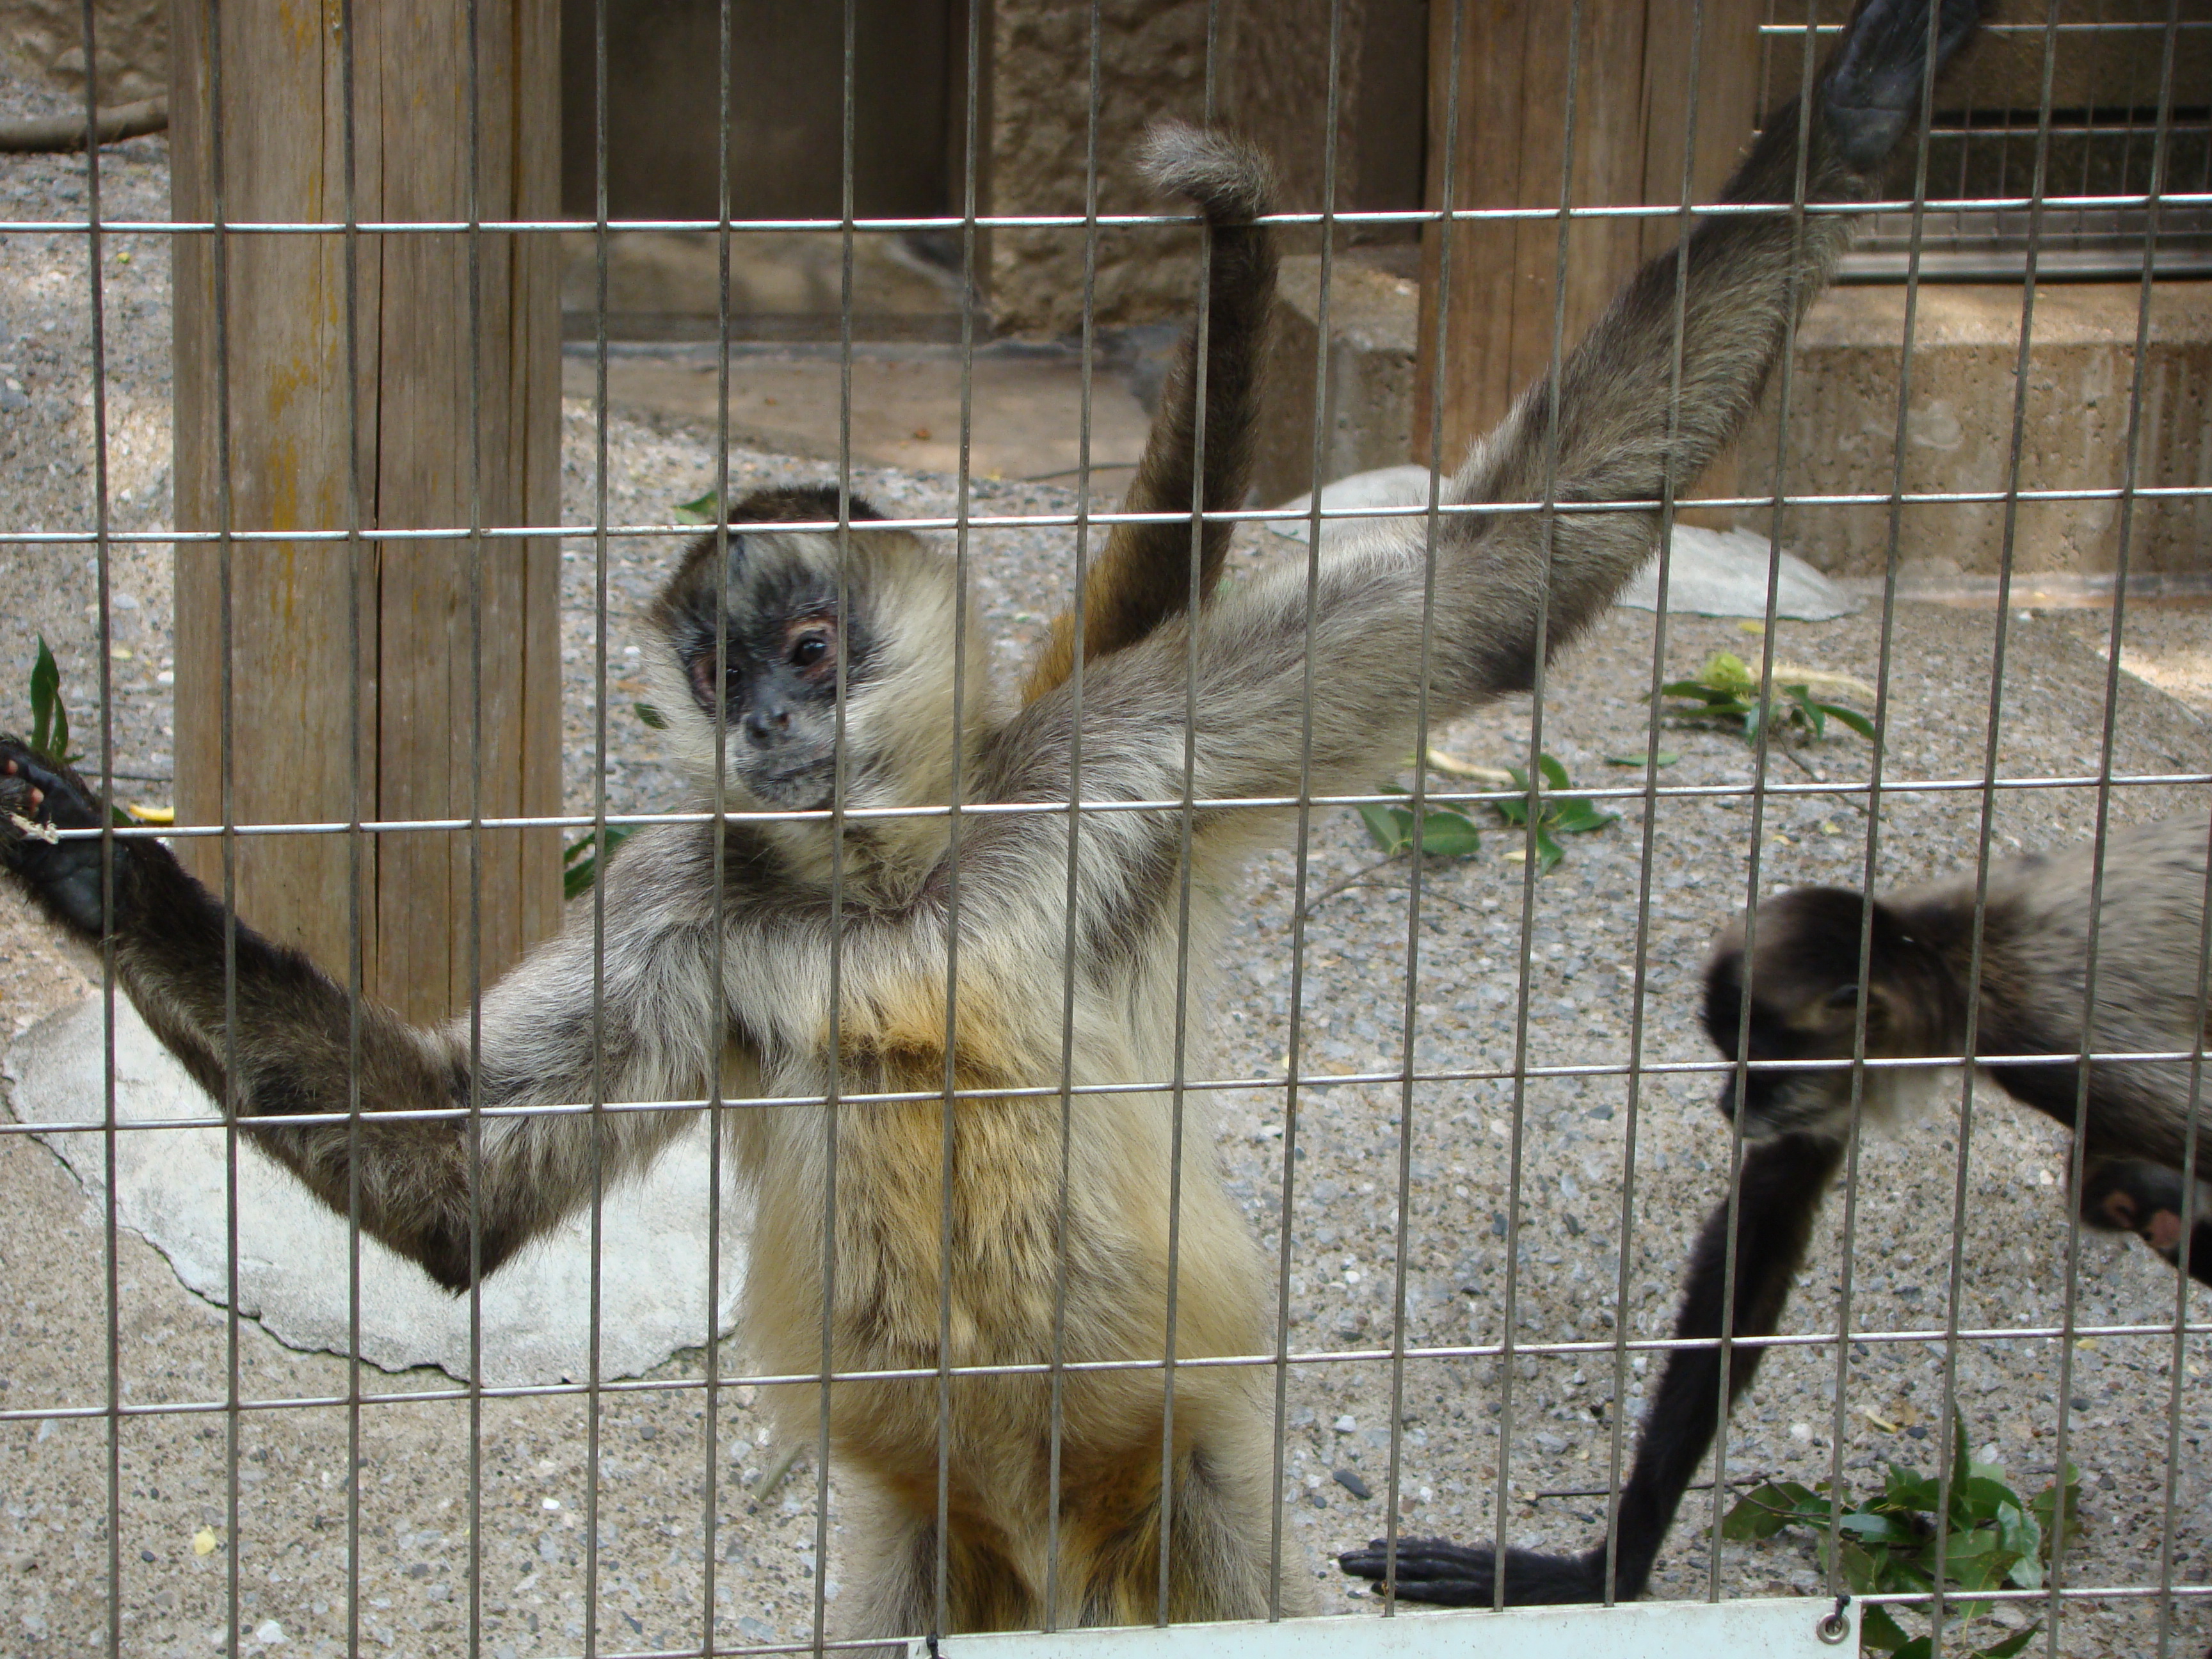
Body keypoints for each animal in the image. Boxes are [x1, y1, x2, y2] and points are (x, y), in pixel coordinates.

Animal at [0, 0, 1973, 1637]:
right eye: (716, 667)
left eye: (808, 644)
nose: (769, 719)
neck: (893, 895)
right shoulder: (687, 900)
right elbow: (454, 1191)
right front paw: (86, 862)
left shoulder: (1111, 761)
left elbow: (1503, 581)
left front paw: (1870, 103)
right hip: (929, 1550)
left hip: (1188, 1499)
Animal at [1345, 827, 2212, 1619]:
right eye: (1728, 1056)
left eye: (1758, 1066)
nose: (1730, 1102)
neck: (1952, 956)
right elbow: (1757, 1239)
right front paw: (1604, 1573)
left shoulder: (2062, 1054)